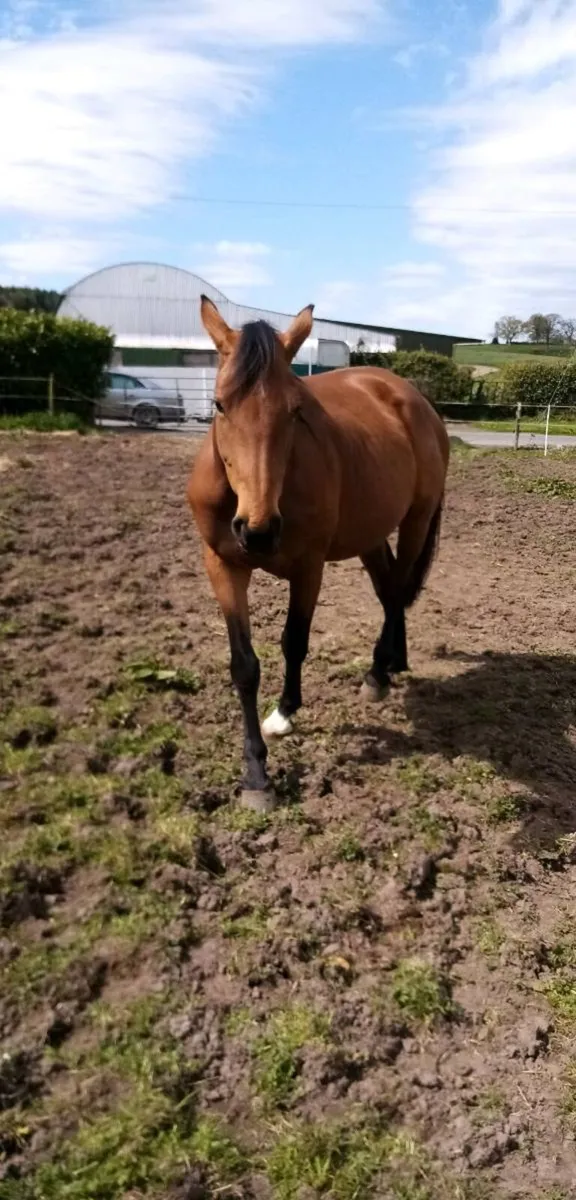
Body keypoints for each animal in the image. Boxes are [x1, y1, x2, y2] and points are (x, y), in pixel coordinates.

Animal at [187, 296, 449, 812]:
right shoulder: (223, 566)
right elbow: (244, 666)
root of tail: (412, 398)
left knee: (397, 592)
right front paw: (255, 774)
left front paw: (285, 712)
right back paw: (393, 662)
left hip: (415, 520)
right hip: (369, 533)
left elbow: (294, 641)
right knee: (389, 588)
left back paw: (378, 674)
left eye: (295, 411)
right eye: (220, 404)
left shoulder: (308, 568)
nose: (258, 531)